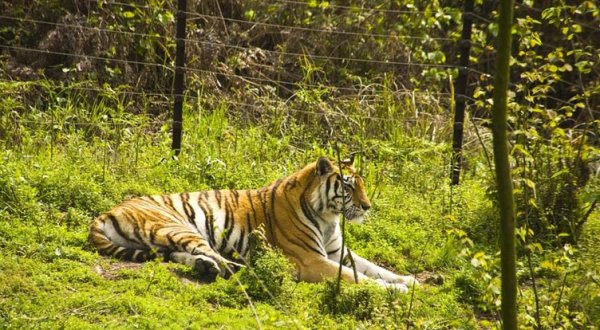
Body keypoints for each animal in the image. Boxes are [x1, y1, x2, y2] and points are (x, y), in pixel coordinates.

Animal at [90, 157, 418, 292]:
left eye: (362, 183)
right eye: (348, 186)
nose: (367, 207)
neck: (328, 216)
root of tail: (105, 212)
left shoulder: (337, 251)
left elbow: (373, 267)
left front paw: (409, 281)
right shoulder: (310, 260)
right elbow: (354, 276)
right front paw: (395, 290)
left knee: (182, 255)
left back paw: (206, 268)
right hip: (179, 226)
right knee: (219, 260)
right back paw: (249, 269)